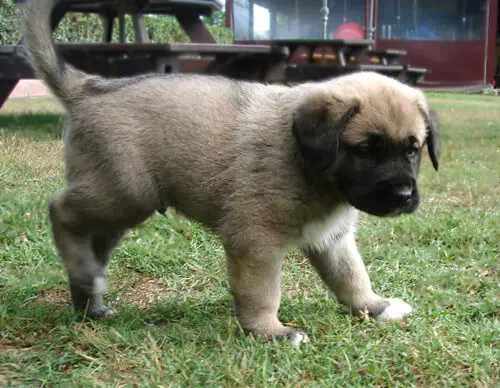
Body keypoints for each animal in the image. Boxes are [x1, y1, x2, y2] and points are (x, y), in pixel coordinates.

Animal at [22, 0, 438, 346]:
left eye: (412, 149)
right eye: (365, 149)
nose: (404, 196)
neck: (307, 163)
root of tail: (89, 87)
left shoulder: (331, 239)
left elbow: (351, 277)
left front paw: (375, 305)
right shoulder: (256, 242)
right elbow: (262, 293)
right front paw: (270, 331)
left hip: (118, 208)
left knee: (90, 241)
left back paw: (88, 297)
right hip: (125, 193)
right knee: (60, 210)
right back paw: (83, 275)